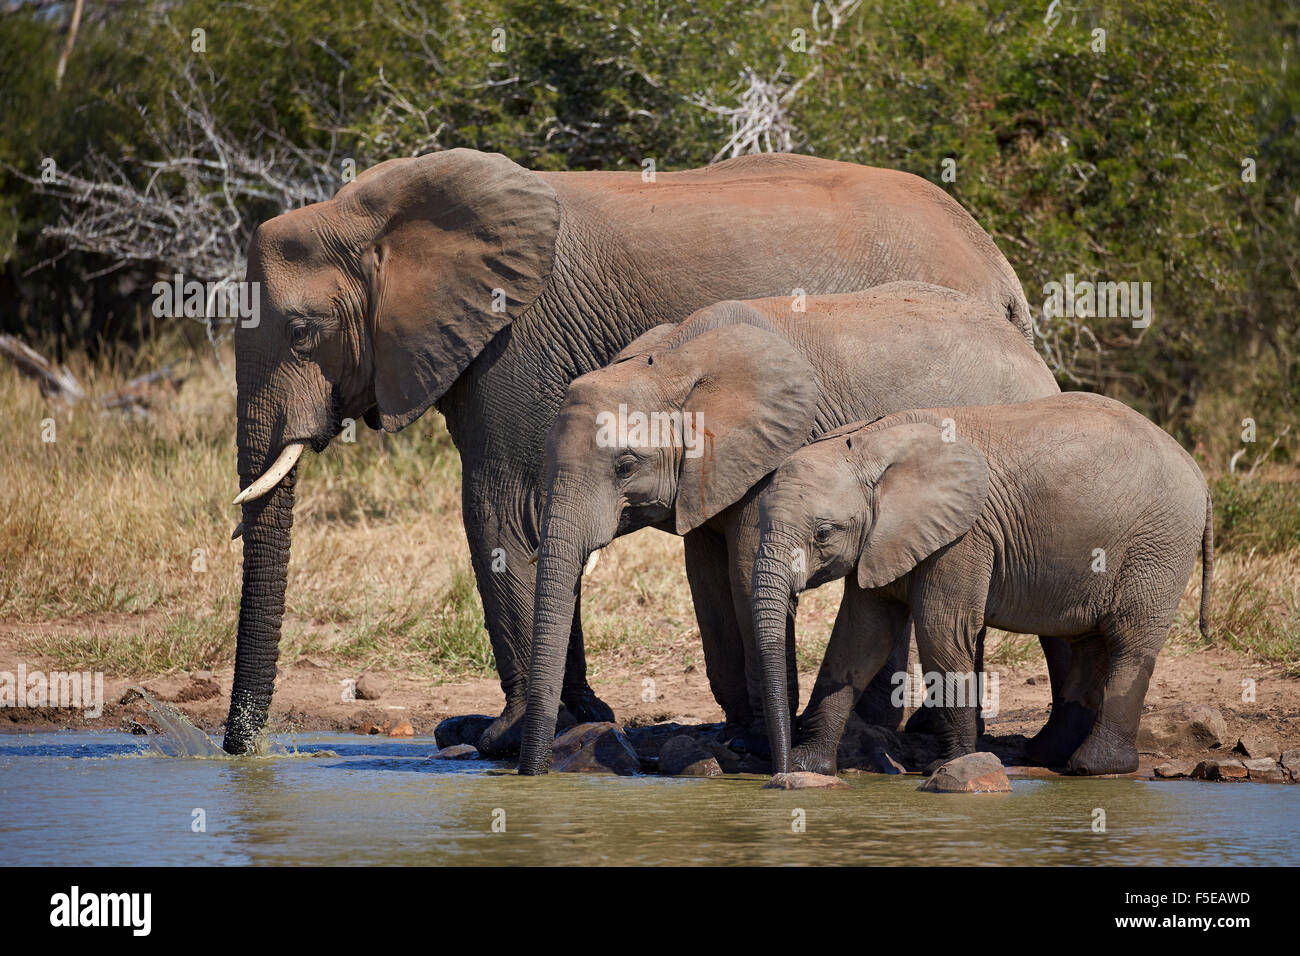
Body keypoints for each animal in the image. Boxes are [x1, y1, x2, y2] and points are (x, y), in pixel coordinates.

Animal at [512, 280, 1060, 775]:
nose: (533, 772)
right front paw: (736, 737)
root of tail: (1029, 349)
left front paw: (759, 747)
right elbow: (707, 586)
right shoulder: (704, 475)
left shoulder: (773, 454)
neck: (674, 360)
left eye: (625, 466)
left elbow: (741, 574)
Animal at [748, 395, 1211, 780]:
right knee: (1087, 642)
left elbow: (941, 633)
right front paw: (810, 768)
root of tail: (1197, 471)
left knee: (1129, 642)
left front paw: (950, 766)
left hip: (1159, 542)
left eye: (823, 533)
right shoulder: (881, 541)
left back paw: (1095, 767)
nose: (778, 770)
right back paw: (1048, 757)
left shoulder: (963, 537)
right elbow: (858, 639)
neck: (869, 444)